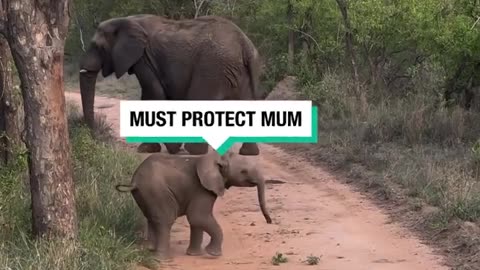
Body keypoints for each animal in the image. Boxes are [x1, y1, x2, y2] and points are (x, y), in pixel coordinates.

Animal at [80, 13, 264, 155]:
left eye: (98, 47)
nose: (95, 135)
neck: (125, 20)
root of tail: (244, 44)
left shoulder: (144, 59)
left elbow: (153, 94)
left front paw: (166, 149)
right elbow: (151, 95)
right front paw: (151, 149)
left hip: (213, 67)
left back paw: (193, 151)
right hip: (241, 72)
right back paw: (249, 153)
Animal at [116, 151, 272, 260]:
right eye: (243, 171)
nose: (269, 221)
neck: (216, 157)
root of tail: (134, 181)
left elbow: (196, 221)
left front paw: (194, 255)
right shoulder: (203, 188)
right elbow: (198, 217)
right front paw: (213, 254)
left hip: (146, 193)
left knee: (151, 218)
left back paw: (150, 250)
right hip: (156, 190)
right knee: (165, 220)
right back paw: (162, 259)